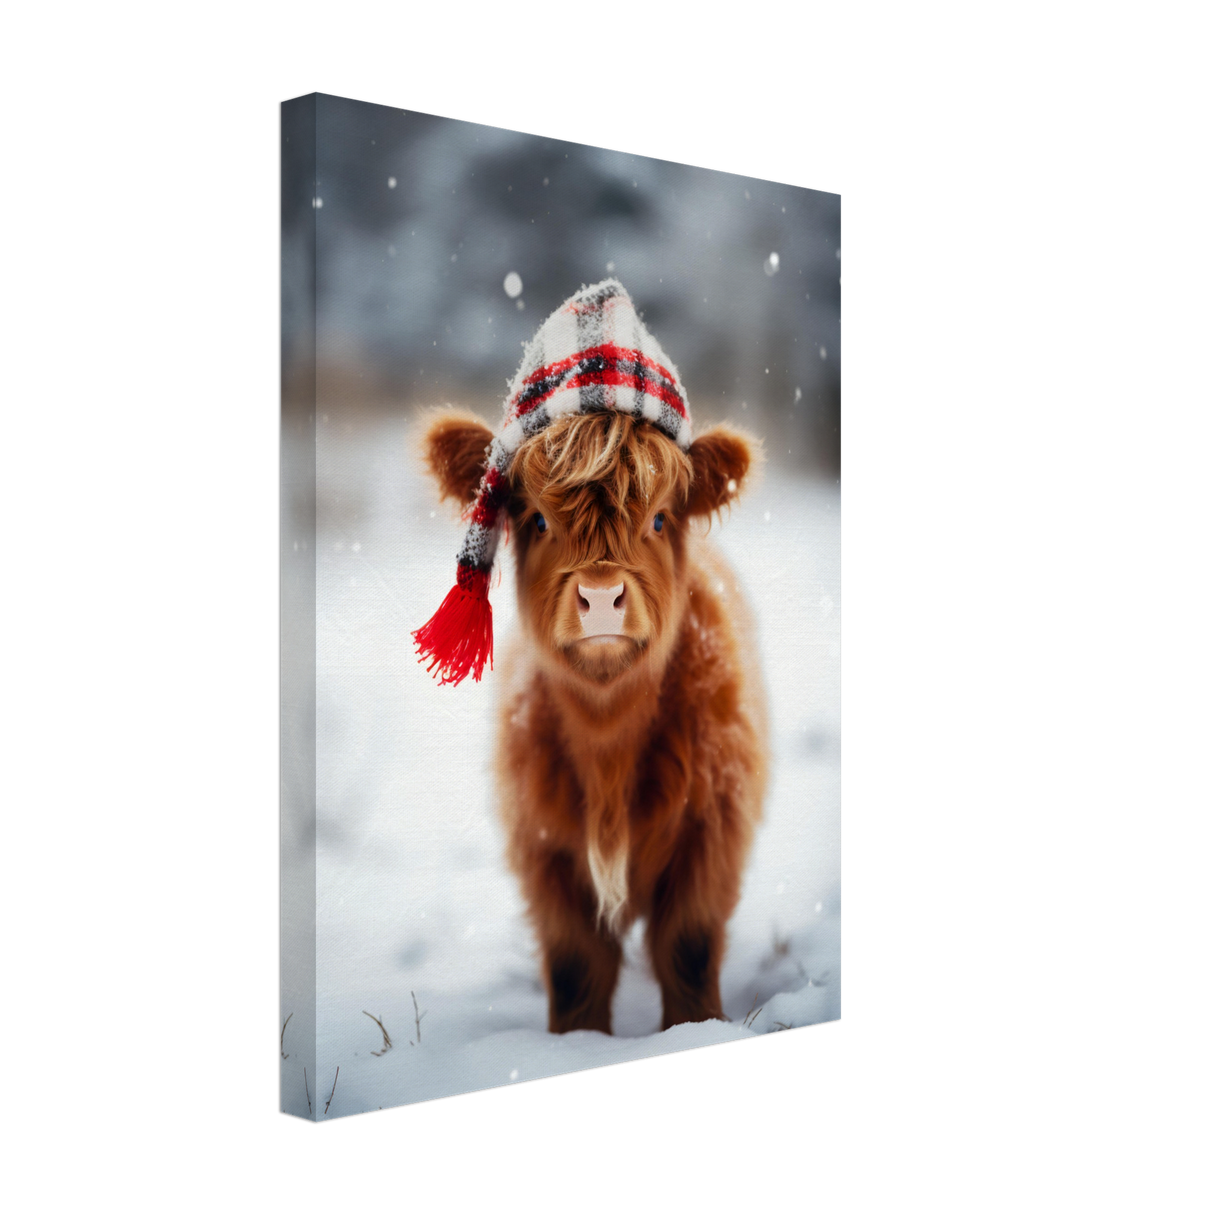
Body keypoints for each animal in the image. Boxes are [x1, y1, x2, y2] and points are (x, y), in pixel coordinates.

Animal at [414, 280, 768, 1033]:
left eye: (660, 517)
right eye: (537, 519)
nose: (602, 596)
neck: (609, 744)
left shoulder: (712, 834)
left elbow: (687, 947)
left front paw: (693, 1027)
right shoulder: (545, 849)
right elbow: (578, 964)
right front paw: (573, 1042)